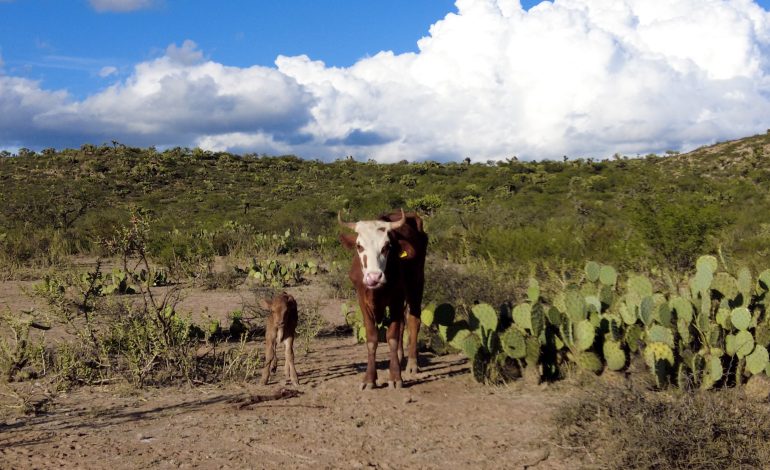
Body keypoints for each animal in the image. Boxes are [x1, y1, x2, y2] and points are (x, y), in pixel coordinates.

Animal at [340, 209, 428, 390]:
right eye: (359, 246)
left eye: (387, 246)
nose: (374, 277)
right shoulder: (362, 301)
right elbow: (372, 339)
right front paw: (369, 378)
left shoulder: (396, 298)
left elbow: (392, 337)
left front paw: (395, 377)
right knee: (402, 323)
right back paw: (400, 357)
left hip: (416, 283)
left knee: (413, 320)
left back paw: (412, 364)